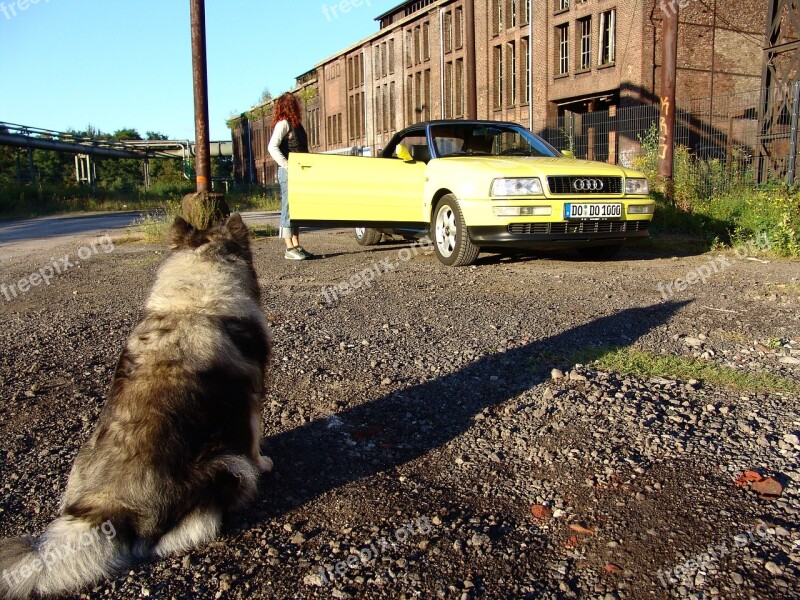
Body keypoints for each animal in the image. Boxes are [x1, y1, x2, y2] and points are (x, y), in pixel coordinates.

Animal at [0, 213, 272, 596]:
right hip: (227, 465)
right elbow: (254, 442)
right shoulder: (250, 401)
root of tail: (106, 508)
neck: (194, 303)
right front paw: (266, 463)